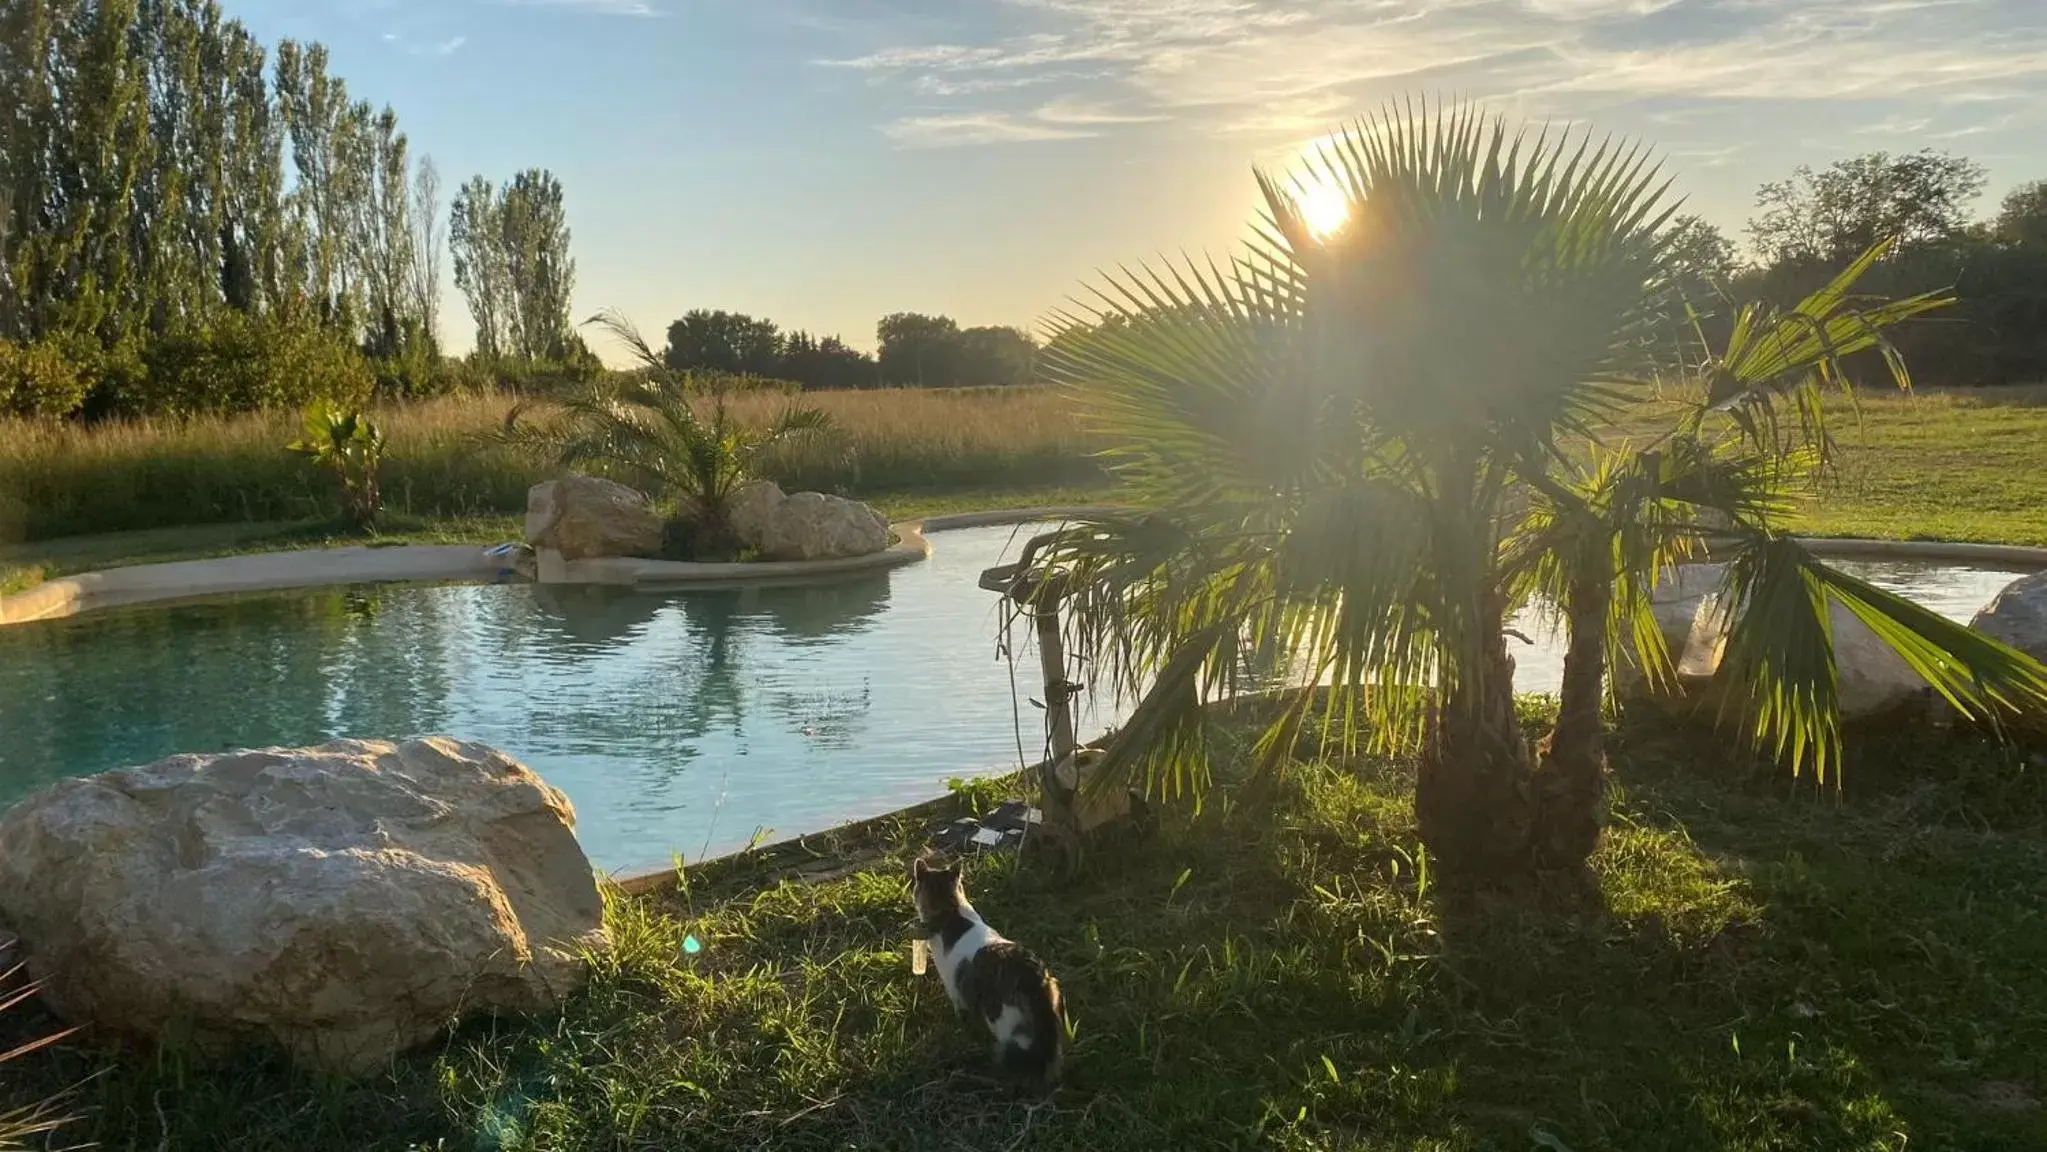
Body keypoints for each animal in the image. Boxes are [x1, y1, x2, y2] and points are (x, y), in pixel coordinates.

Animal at [912, 855, 1072, 1088]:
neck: (950, 911)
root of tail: (1031, 973)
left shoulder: (955, 989)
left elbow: (959, 1010)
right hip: (1053, 1009)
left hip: (1003, 1018)